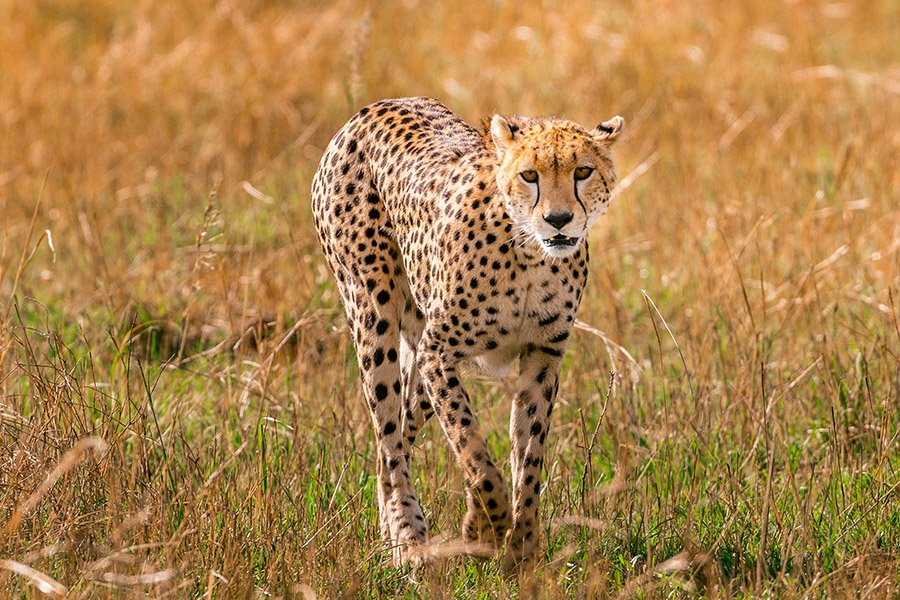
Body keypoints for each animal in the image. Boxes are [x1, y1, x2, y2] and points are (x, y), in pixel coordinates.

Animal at [312, 96, 624, 576]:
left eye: (583, 171)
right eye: (529, 175)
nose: (558, 220)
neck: (530, 253)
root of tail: (377, 106)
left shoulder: (542, 357)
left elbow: (528, 460)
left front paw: (522, 549)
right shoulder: (439, 353)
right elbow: (474, 451)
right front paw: (485, 531)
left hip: (416, 348)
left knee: (398, 435)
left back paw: (393, 535)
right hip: (373, 317)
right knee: (388, 441)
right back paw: (408, 541)